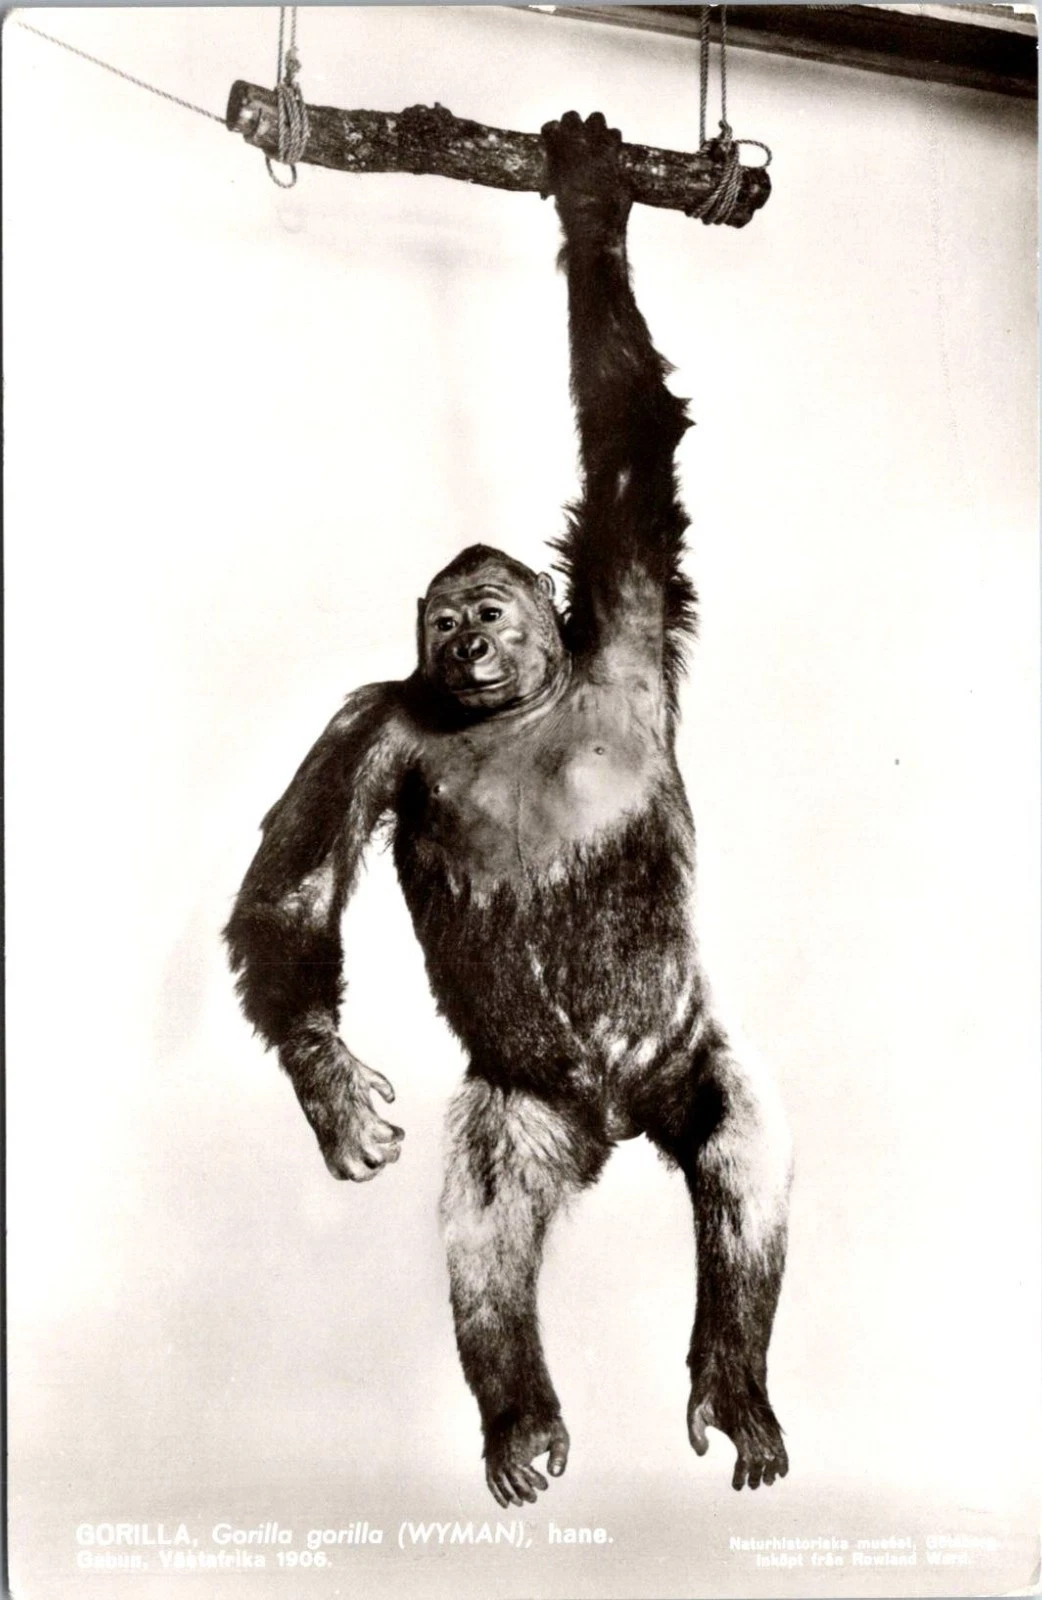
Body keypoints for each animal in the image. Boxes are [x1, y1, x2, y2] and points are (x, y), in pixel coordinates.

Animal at [225, 111, 792, 1508]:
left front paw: (592, 194)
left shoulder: (630, 612)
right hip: (522, 1107)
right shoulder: (370, 723)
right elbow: (297, 885)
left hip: (683, 1058)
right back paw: (521, 1418)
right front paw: (325, 1078)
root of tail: (615, 1117)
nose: (469, 645)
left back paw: (733, 1376)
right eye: (442, 626)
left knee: (741, 1151)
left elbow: (630, 435)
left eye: (487, 611)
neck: (515, 710)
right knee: (489, 1227)